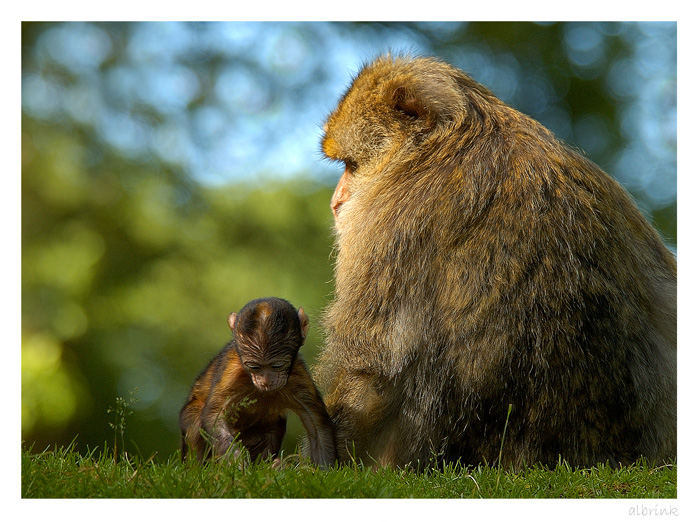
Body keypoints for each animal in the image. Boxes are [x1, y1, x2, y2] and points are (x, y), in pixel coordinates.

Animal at [179, 296, 334, 468]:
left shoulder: (298, 375)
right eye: (254, 366)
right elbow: (214, 415)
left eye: (277, 365)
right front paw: (237, 463)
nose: (266, 381)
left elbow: (317, 424)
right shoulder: (231, 369)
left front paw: (323, 469)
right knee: (195, 420)